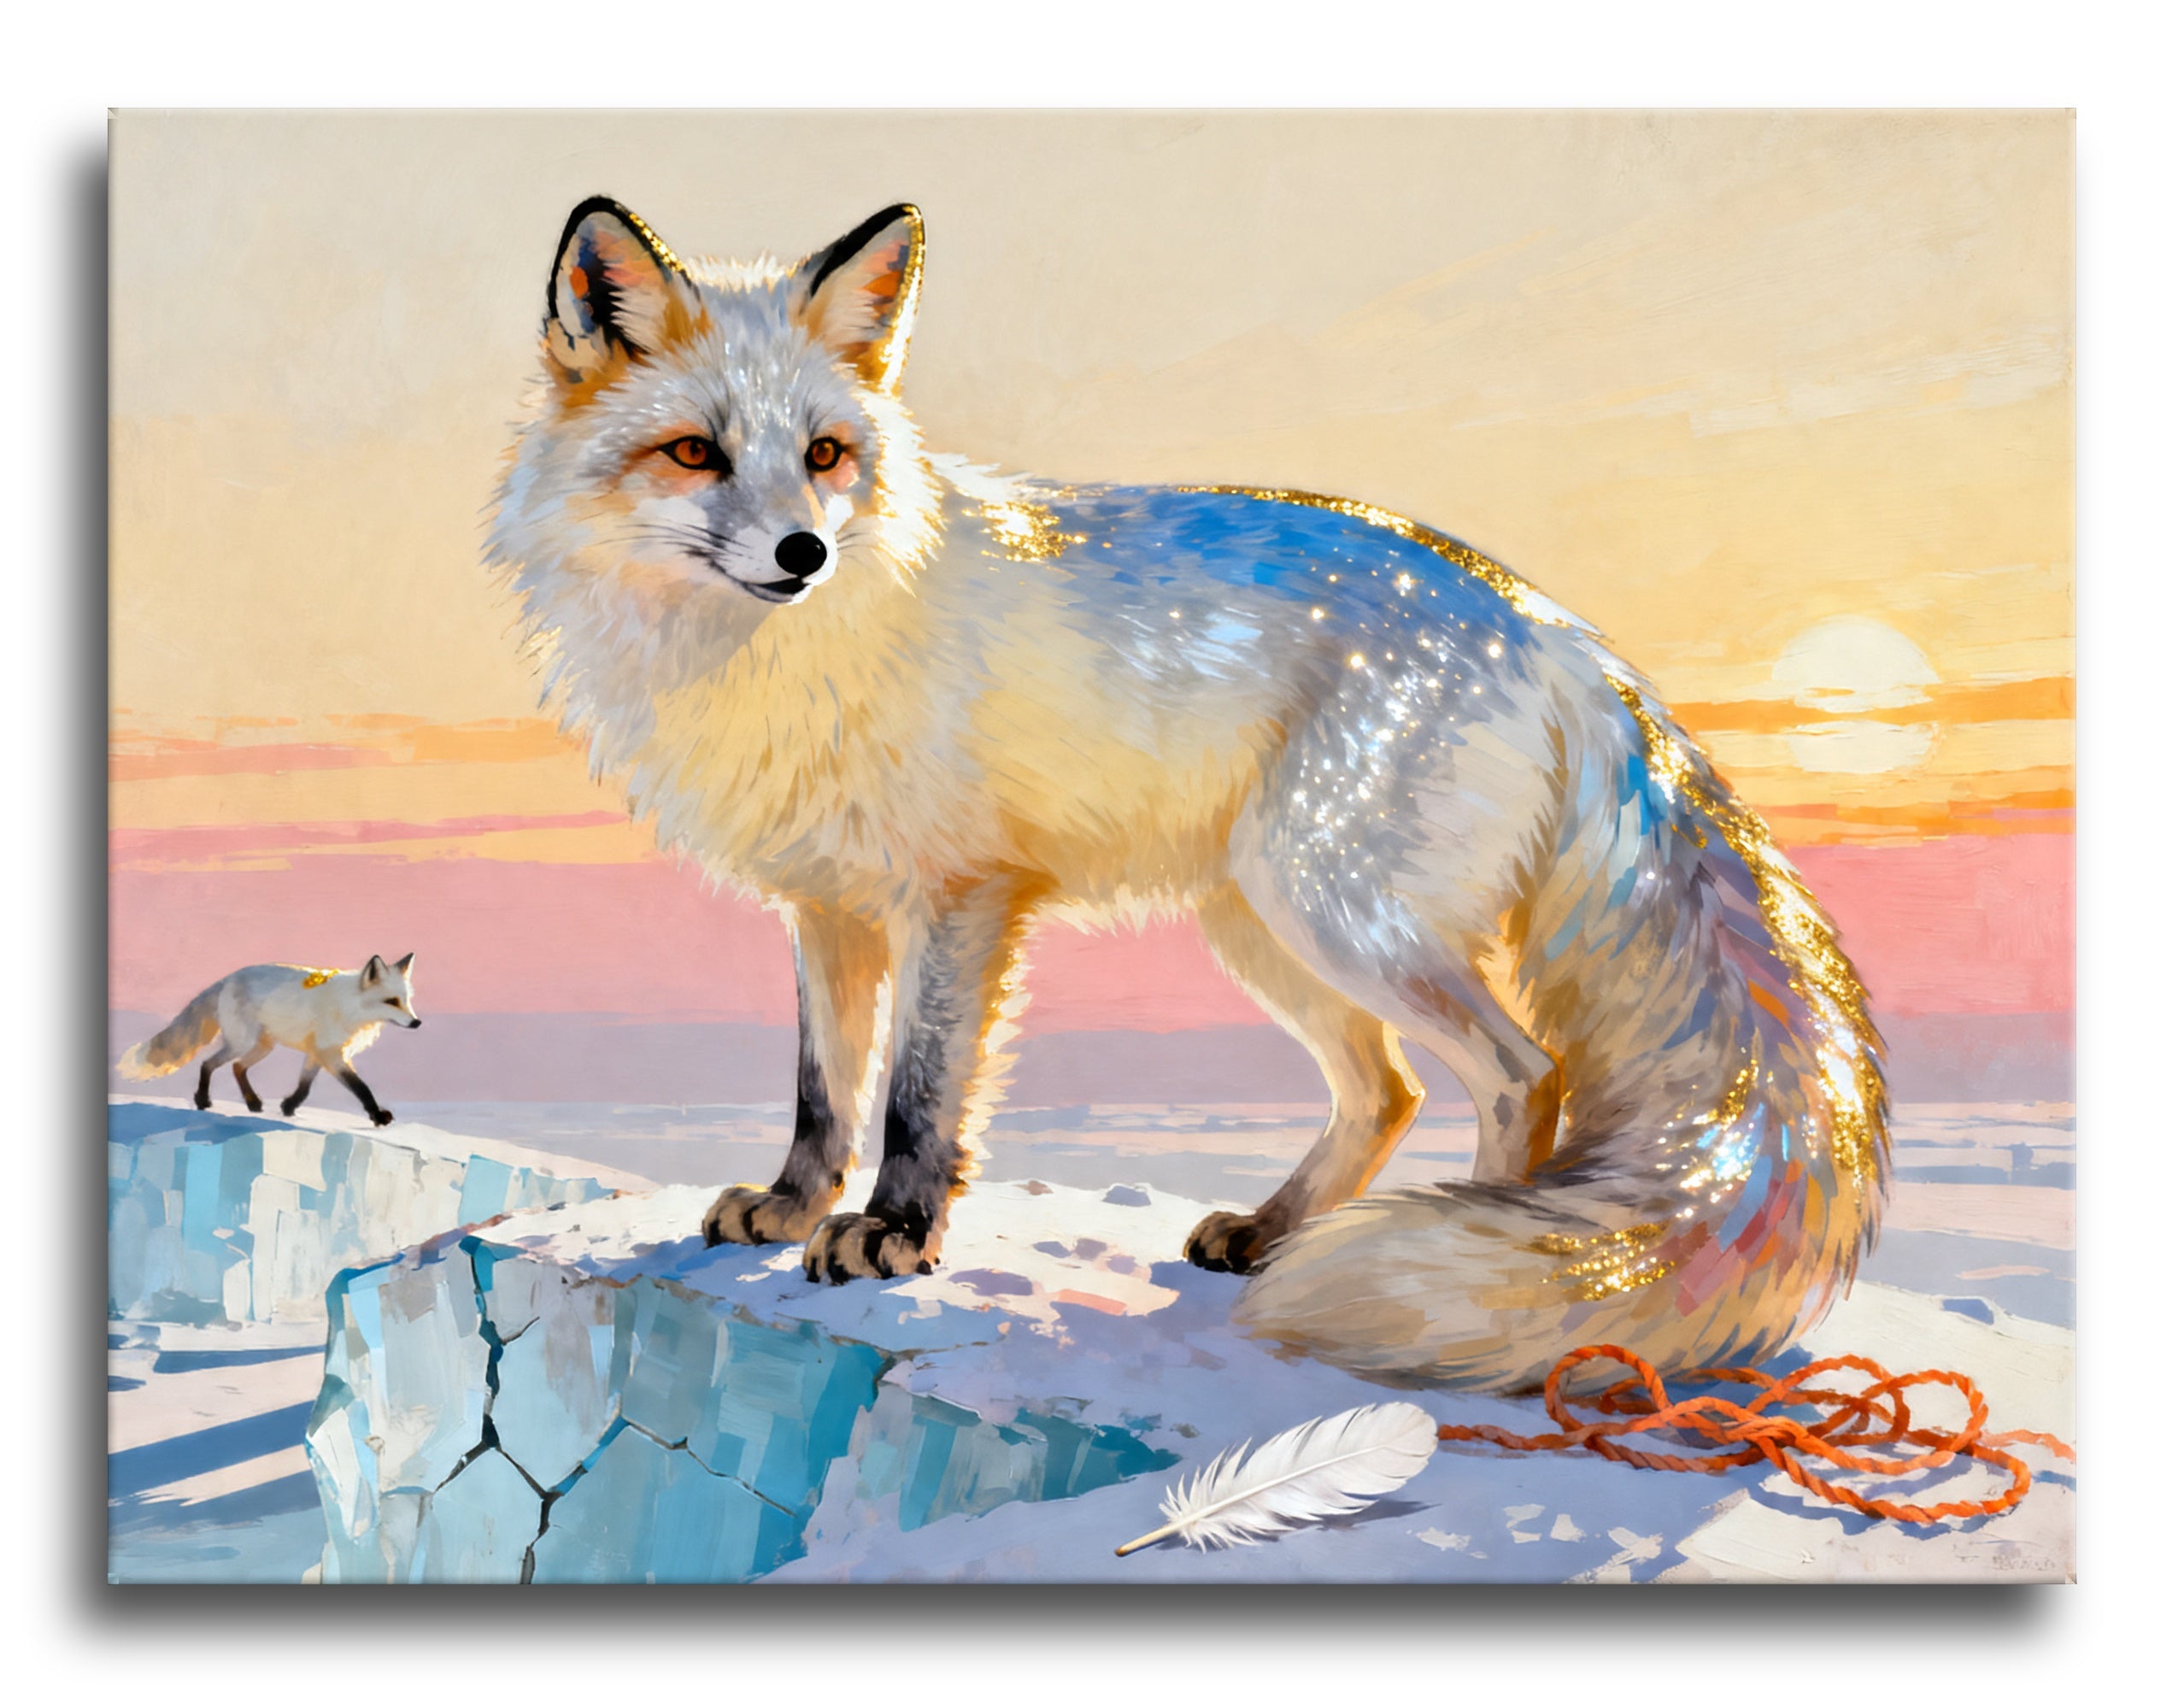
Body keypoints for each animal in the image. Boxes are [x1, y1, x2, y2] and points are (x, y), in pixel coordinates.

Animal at [118, 955, 423, 1125]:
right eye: (391, 1001)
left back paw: (252, 1103)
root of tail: (228, 978)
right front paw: (377, 1116)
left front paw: (288, 1107)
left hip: (263, 1047)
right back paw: (203, 1100)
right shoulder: (330, 1053)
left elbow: (304, 1088)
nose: (417, 1023)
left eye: (407, 1000)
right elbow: (362, 1088)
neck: (350, 1006)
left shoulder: (318, 1052)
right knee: (208, 1064)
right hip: (243, 1043)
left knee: (236, 1067)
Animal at [484, 197, 1890, 1391]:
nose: (803, 553)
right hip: (1261, 925)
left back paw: (1461, 1250)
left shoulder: (961, 895)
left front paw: (894, 1234)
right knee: (1388, 1091)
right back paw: (1273, 1234)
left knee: (1517, 1075)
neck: (772, 665)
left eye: (825, 453)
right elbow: (825, 1091)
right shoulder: (828, 906)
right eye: (696, 453)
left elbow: (917, 1096)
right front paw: (790, 1208)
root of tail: (1549, 625)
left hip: (1341, 914)